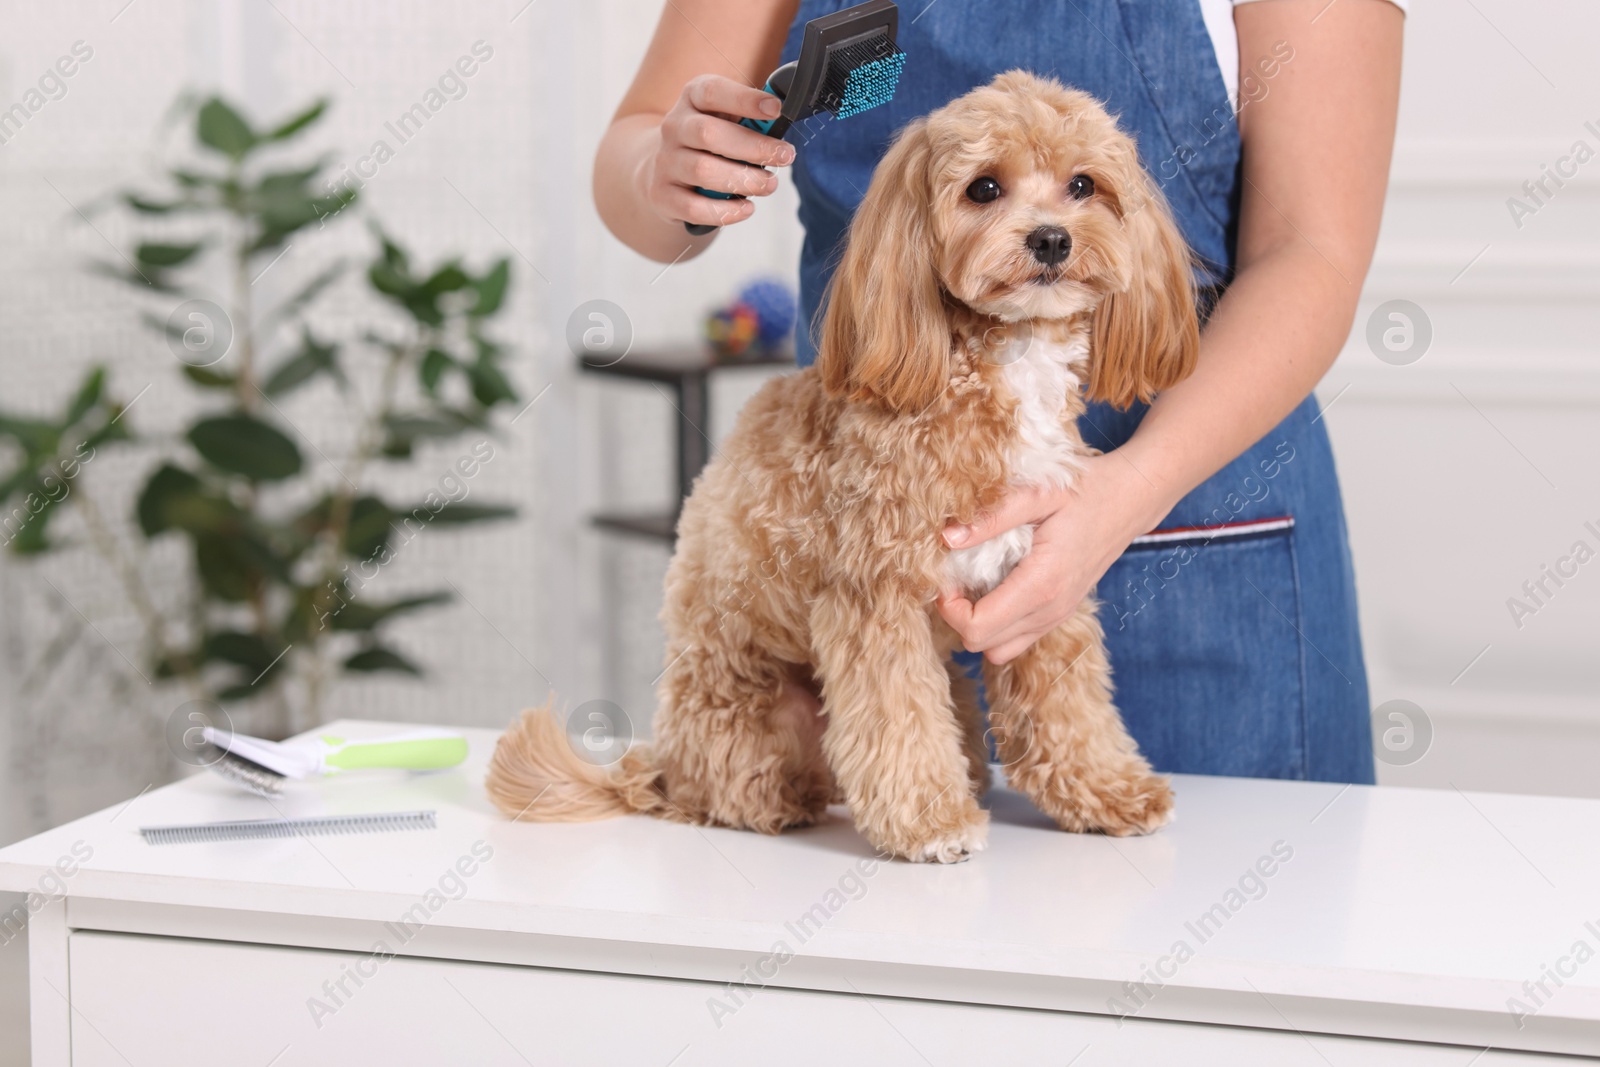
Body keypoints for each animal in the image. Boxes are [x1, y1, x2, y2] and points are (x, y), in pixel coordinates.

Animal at [492, 70, 1196, 857]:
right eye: (984, 188)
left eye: (1083, 184)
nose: (1050, 237)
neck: (993, 366)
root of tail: (663, 769)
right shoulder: (873, 596)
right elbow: (898, 720)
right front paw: (930, 823)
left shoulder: (1043, 581)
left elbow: (1068, 705)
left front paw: (1108, 791)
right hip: (756, 710)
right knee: (754, 784)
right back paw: (789, 801)